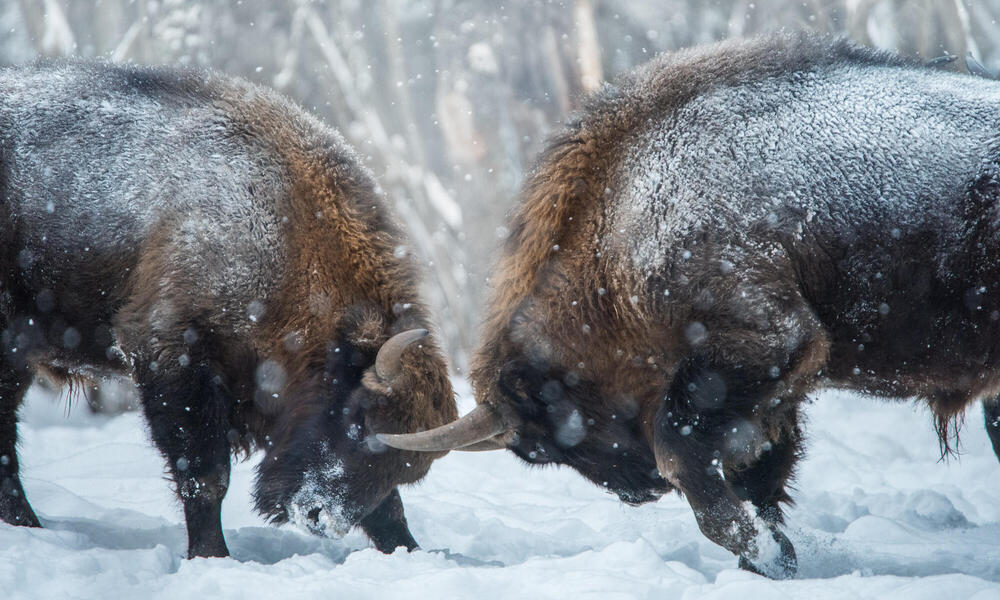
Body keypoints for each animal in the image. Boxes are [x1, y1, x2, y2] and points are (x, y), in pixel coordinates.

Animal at [0, 61, 458, 556]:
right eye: (361, 420)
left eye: (412, 468)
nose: (320, 516)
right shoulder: (170, 355)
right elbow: (206, 476)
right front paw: (211, 555)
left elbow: (388, 509)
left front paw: (412, 550)